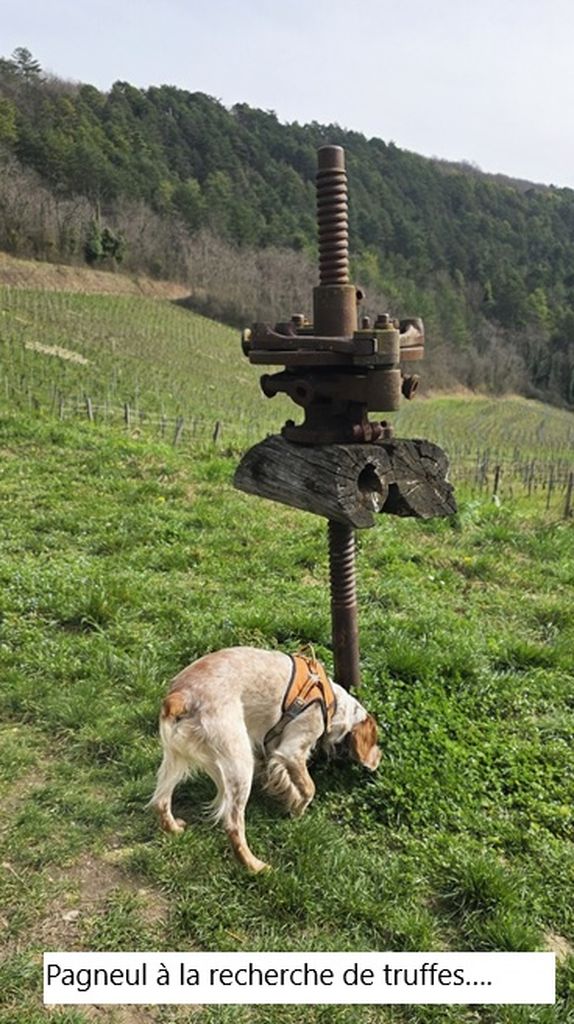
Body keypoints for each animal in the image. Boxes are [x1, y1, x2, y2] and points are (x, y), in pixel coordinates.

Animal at [149, 647, 381, 872]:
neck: (331, 702)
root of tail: (179, 697)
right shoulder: (292, 751)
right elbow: (309, 788)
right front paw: (297, 810)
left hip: (176, 760)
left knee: (161, 801)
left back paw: (174, 828)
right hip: (240, 763)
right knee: (232, 824)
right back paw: (255, 866)